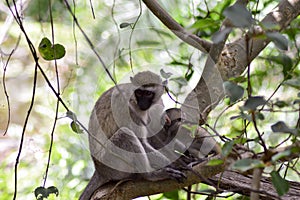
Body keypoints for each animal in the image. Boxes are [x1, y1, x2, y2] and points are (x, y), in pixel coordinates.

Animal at [79, 71, 185, 200]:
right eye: (139, 92)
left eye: (148, 93)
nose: (142, 104)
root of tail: (99, 171)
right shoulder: (130, 109)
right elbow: (142, 141)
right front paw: (177, 163)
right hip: (110, 163)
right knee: (125, 134)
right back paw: (150, 175)